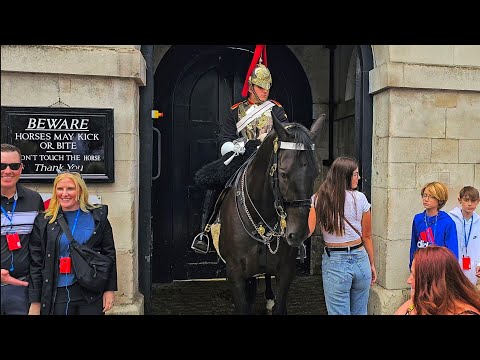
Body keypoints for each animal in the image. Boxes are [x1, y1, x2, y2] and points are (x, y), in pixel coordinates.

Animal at [218, 114, 324, 314]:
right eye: (283, 174)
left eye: (316, 173)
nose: (298, 234)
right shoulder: (235, 273)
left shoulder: (286, 271)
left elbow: (280, 306)